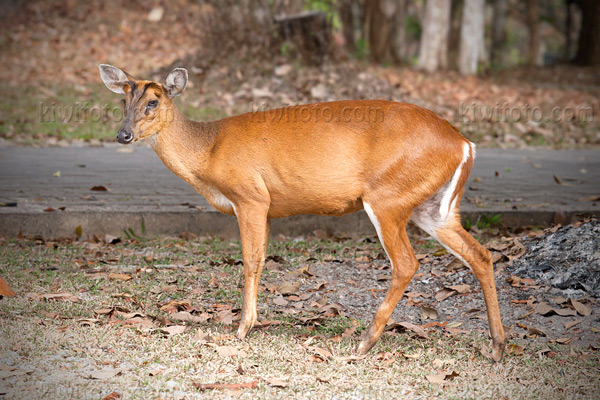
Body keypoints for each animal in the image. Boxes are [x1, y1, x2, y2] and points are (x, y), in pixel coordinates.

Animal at [99, 64, 506, 360]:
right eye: (123, 101)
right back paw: (497, 346)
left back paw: (365, 342)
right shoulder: (268, 206)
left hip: (388, 196)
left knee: (407, 262)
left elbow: (250, 260)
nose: (122, 135)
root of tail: (464, 144)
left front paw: (242, 328)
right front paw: (253, 322)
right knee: (480, 254)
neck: (208, 151)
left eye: (153, 102)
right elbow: (263, 259)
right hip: (433, 207)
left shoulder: (250, 196)